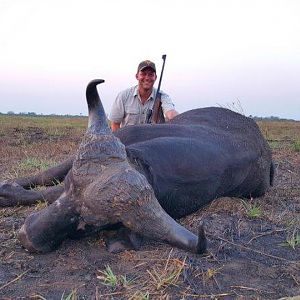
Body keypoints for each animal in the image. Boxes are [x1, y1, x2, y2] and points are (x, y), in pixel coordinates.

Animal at [0, 78, 274, 254]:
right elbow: (47, 182)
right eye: (69, 187)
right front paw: (8, 189)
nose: (26, 238)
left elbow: (46, 193)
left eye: (87, 225)